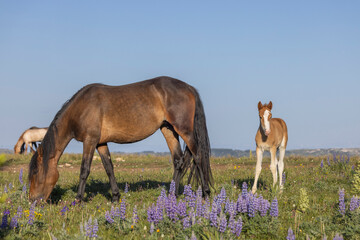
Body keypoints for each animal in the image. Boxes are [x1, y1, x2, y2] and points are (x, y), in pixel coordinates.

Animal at [29, 77, 214, 202]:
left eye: (36, 172)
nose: (32, 201)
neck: (81, 108)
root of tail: (188, 87)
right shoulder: (101, 143)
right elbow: (109, 168)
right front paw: (115, 197)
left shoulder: (90, 141)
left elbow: (84, 170)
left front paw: (78, 199)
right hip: (168, 129)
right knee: (178, 161)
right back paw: (171, 195)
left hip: (184, 131)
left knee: (198, 157)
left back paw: (205, 193)